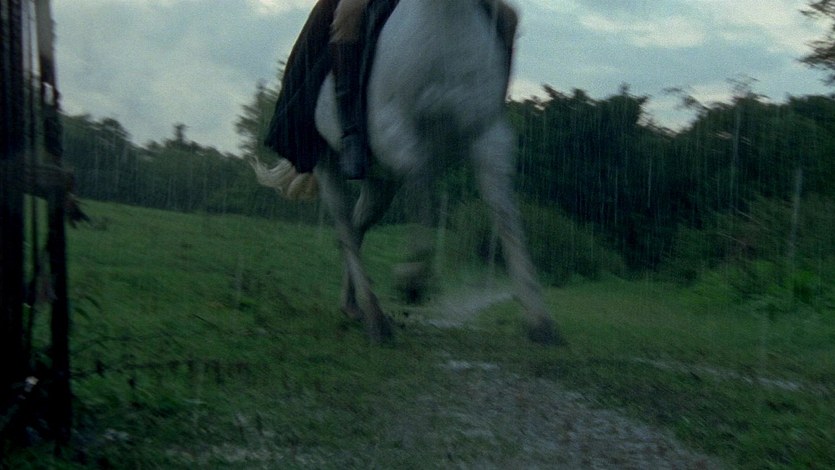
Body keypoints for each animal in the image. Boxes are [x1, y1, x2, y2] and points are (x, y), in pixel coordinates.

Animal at [249, 0, 562, 345]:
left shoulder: (489, 138)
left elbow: (507, 220)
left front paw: (540, 322)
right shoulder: (394, 133)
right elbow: (422, 193)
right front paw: (411, 280)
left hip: (381, 184)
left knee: (357, 229)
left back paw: (353, 306)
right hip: (326, 163)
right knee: (346, 230)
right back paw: (376, 320)